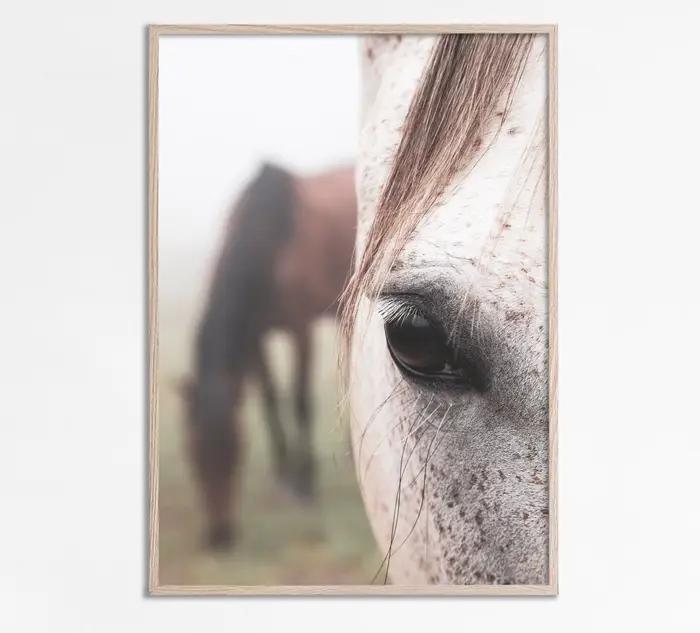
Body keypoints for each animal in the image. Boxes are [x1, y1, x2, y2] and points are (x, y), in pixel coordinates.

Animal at [181, 162, 357, 549]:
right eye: (193, 455)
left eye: (236, 454)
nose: (220, 536)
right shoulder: (255, 338)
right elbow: (270, 399)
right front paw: (283, 476)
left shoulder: (300, 329)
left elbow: (300, 401)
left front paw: (305, 484)